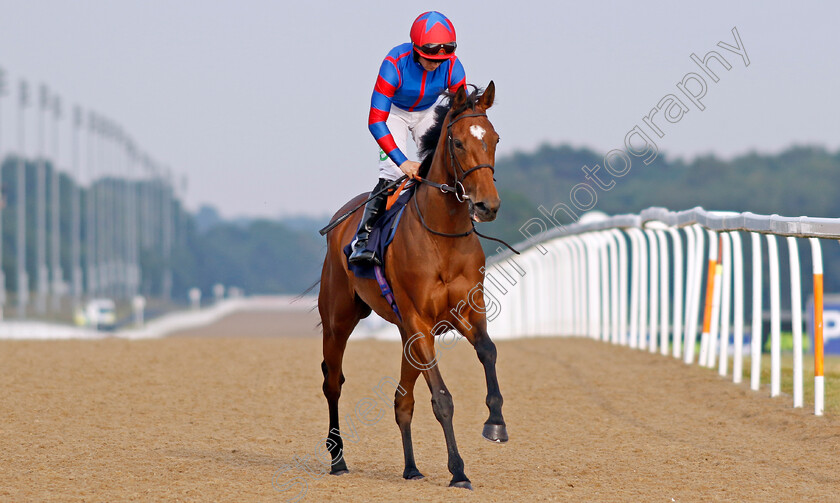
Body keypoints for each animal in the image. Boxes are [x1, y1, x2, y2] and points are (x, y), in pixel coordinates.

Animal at [318, 81, 506, 488]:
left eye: (495, 139)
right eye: (458, 143)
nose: (487, 206)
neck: (443, 235)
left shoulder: (467, 311)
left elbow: (488, 350)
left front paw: (496, 422)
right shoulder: (420, 321)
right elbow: (443, 399)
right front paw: (458, 470)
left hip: (405, 333)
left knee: (402, 400)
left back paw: (410, 467)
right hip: (339, 320)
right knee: (333, 382)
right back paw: (337, 459)